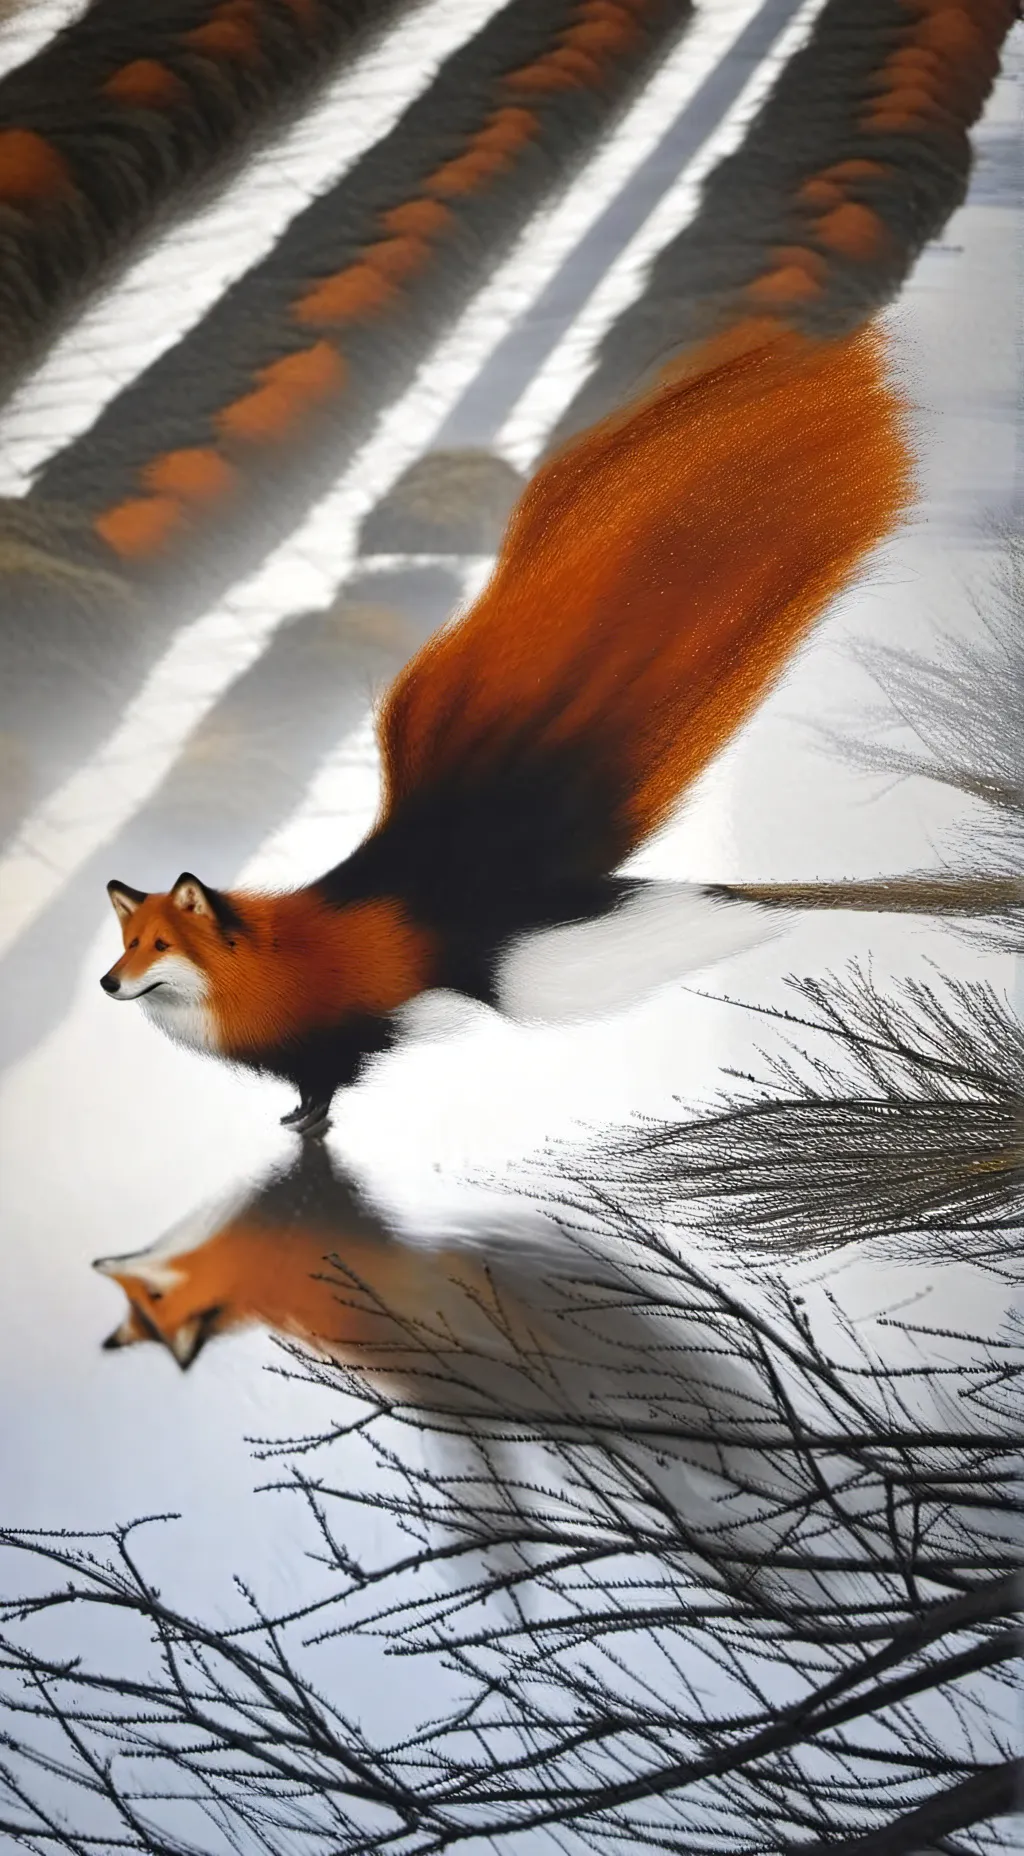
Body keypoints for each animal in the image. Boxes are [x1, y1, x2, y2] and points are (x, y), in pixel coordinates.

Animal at [101, 1, 1020, 1134]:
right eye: (124, 941)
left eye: (155, 945)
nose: (106, 983)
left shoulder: (340, 1030)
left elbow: (331, 1078)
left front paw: (307, 1126)